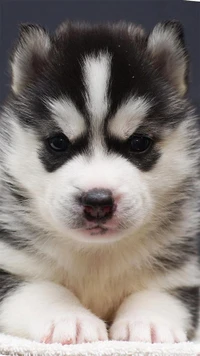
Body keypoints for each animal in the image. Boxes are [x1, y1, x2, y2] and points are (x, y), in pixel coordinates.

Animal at [0, 20, 198, 344]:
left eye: (139, 143)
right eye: (58, 142)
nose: (97, 202)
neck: (97, 255)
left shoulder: (184, 272)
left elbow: (158, 293)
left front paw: (148, 321)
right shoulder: (10, 264)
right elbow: (41, 289)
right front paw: (69, 318)